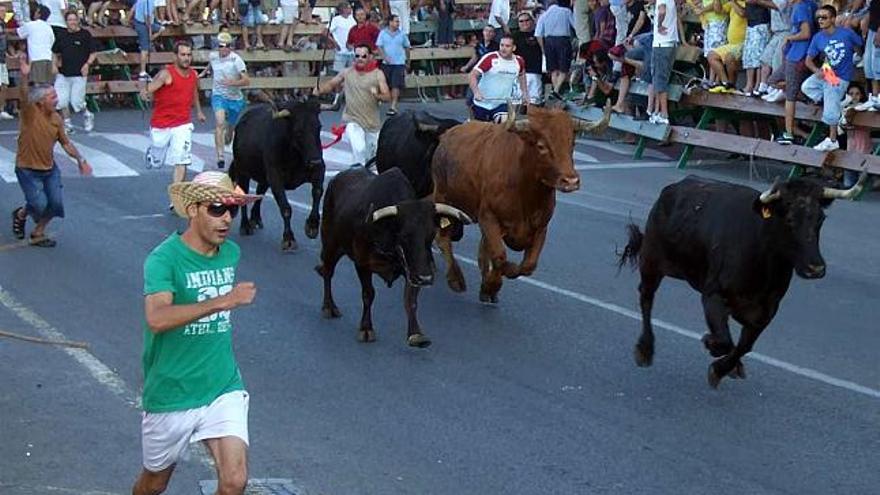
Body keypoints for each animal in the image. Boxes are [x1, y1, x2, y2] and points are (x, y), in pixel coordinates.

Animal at [229, 100, 328, 252]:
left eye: (319, 127)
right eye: (298, 131)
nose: (315, 161)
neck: (294, 155)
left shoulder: (319, 171)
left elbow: (317, 192)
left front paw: (312, 226)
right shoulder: (275, 177)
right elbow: (286, 208)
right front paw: (289, 239)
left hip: (263, 177)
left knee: (259, 193)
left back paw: (255, 219)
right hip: (243, 172)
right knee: (244, 195)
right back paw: (245, 226)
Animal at [430, 105, 608, 302]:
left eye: (572, 144)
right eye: (541, 146)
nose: (571, 181)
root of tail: (447, 134)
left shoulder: (541, 226)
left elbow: (527, 265)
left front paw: (490, 286)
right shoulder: (489, 217)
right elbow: (499, 256)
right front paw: (492, 285)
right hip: (443, 196)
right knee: (443, 237)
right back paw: (456, 279)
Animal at [620, 173, 868, 388]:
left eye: (820, 219)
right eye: (789, 219)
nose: (815, 268)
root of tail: (675, 187)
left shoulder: (766, 311)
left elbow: (744, 345)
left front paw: (722, 368)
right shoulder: (713, 295)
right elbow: (724, 340)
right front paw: (711, 346)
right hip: (651, 260)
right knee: (646, 298)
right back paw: (645, 349)